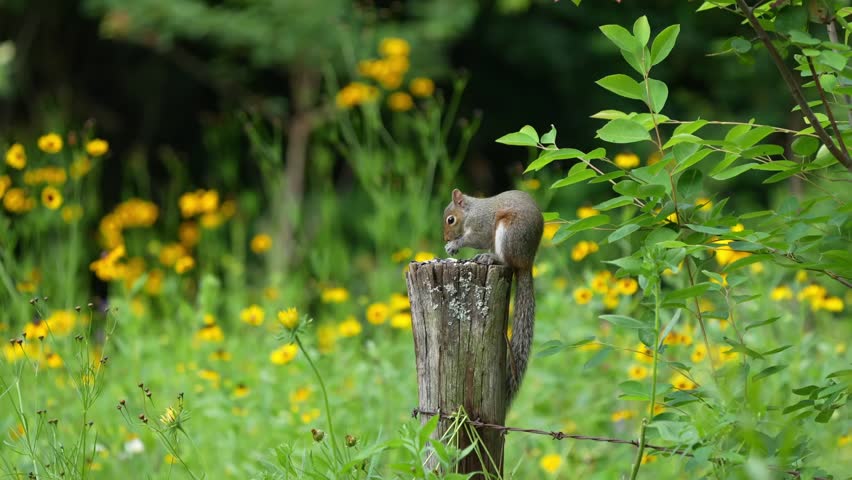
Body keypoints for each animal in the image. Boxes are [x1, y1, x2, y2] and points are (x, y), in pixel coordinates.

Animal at [443, 188, 543, 403]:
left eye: (450, 220)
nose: (446, 239)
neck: (471, 212)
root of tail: (527, 262)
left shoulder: (482, 226)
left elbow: (476, 239)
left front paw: (455, 244)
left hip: (508, 233)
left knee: (507, 262)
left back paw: (491, 257)